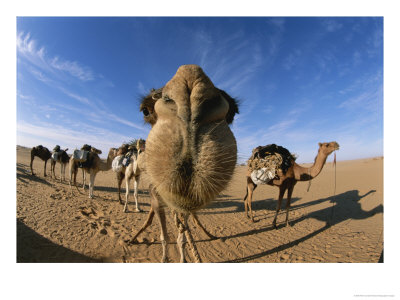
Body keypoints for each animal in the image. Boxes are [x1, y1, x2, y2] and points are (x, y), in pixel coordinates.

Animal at [128, 64, 239, 262]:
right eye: (145, 111)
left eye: (233, 112)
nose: (189, 86)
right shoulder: (156, 195)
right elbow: (164, 233)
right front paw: (165, 257)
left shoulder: (184, 203)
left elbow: (184, 233)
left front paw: (185, 255)